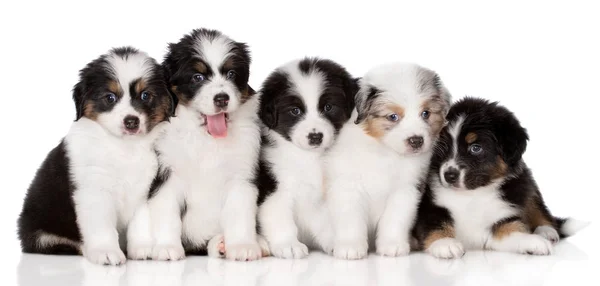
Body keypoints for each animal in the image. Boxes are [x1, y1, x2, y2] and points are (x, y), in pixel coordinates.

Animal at [16, 47, 175, 266]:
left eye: (145, 95)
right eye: (110, 97)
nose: (131, 122)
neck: (124, 147)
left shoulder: (145, 189)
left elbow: (141, 222)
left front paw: (142, 249)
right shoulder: (94, 190)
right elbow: (102, 226)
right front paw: (105, 251)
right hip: (42, 230)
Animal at [148, 27, 262, 260]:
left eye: (231, 74)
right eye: (197, 77)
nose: (222, 98)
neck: (207, 139)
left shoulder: (241, 176)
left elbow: (240, 213)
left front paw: (243, 246)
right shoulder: (167, 174)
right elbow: (167, 212)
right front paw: (167, 247)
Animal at [256, 58, 358, 260]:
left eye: (328, 107)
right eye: (295, 111)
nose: (315, 136)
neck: (309, 158)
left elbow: (327, 222)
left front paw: (337, 243)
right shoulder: (275, 189)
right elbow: (279, 217)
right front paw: (288, 244)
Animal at [324, 62, 450, 260]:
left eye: (426, 113)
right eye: (393, 117)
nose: (416, 141)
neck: (385, 152)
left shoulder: (406, 189)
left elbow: (395, 218)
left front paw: (393, 245)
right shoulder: (347, 186)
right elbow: (351, 218)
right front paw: (350, 247)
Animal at [412, 96, 592, 260]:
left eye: (475, 148)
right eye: (442, 147)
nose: (449, 175)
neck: (472, 195)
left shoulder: (501, 217)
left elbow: (512, 230)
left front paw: (533, 241)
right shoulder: (429, 206)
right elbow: (434, 224)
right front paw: (445, 243)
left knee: (539, 210)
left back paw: (546, 231)